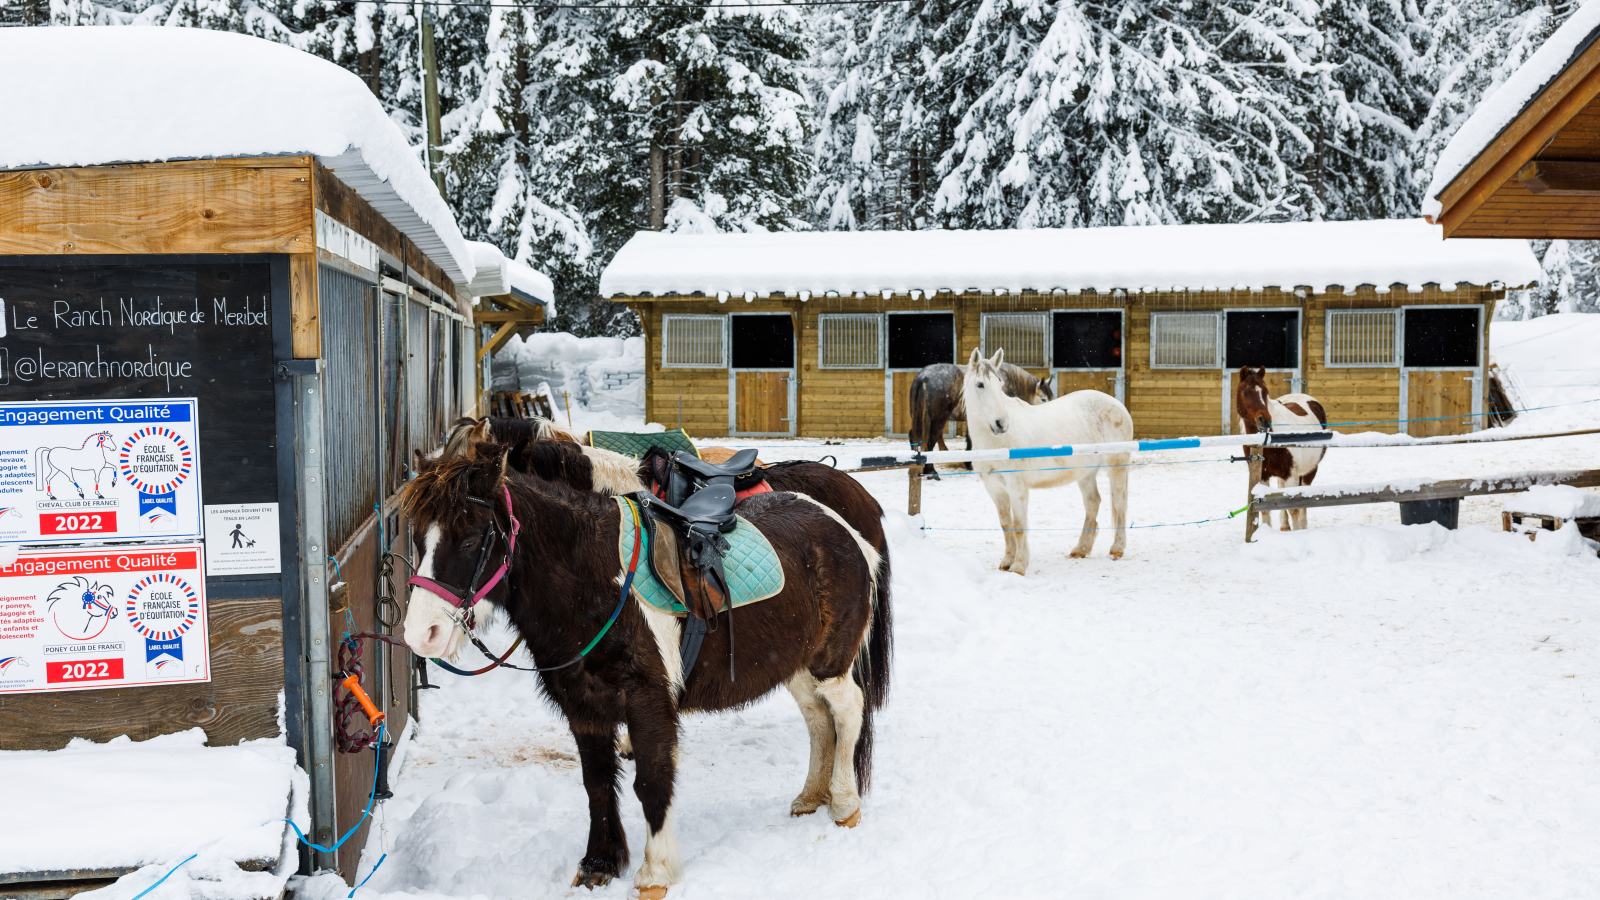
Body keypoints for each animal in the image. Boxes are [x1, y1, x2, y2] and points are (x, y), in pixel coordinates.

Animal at [395, 454, 883, 896]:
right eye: (417, 538)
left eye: (471, 539)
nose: (422, 635)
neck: (594, 584)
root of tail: (847, 530)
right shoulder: (584, 706)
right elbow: (596, 783)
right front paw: (600, 863)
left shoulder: (647, 703)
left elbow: (650, 781)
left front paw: (655, 873)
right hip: (795, 664)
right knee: (817, 719)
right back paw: (811, 798)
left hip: (828, 662)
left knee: (846, 711)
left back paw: (844, 803)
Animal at [953, 347, 1132, 570]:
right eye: (980, 384)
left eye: (1000, 384)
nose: (1002, 424)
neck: (996, 444)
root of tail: (1118, 405)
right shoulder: (995, 490)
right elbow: (1006, 524)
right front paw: (1007, 562)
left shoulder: (1017, 488)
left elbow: (1019, 525)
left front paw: (1019, 566)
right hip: (1086, 473)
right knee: (1093, 503)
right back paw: (1080, 550)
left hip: (1117, 465)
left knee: (1119, 501)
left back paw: (1117, 549)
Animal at [1228, 365, 1331, 528]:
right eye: (1245, 393)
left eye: (1265, 392)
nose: (1264, 420)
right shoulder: (1262, 475)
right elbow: (1265, 509)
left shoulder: (1290, 474)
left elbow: (1294, 509)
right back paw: (1284, 526)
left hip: (1310, 470)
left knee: (1304, 500)